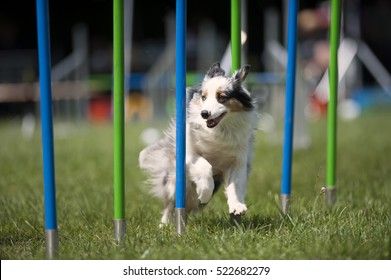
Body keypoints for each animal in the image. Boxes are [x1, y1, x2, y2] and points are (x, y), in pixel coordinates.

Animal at [140, 62, 258, 224]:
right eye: (204, 97)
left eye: (221, 97)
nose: (204, 113)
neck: (219, 131)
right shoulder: (188, 153)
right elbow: (205, 166)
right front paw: (204, 192)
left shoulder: (237, 159)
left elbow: (235, 185)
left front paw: (237, 206)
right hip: (175, 182)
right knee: (170, 204)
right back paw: (164, 225)